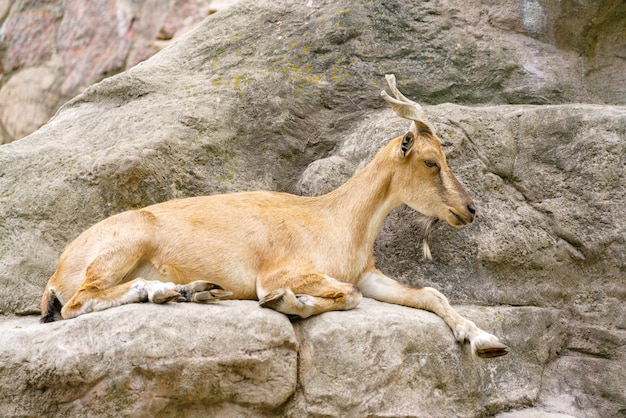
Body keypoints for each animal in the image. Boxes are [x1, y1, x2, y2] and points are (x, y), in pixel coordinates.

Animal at [40, 74, 508, 356]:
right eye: (431, 161)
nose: (469, 209)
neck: (336, 219)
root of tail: (58, 270)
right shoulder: (285, 271)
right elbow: (342, 295)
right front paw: (287, 302)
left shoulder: (368, 274)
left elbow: (430, 293)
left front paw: (486, 339)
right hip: (123, 246)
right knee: (80, 301)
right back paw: (166, 290)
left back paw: (194, 291)